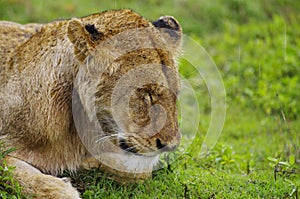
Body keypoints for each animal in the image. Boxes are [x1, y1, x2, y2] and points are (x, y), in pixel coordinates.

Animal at [0, 8, 182, 197]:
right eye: (147, 93)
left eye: (176, 93)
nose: (171, 146)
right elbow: (12, 171)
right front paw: (63, 189)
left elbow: (136, 170)